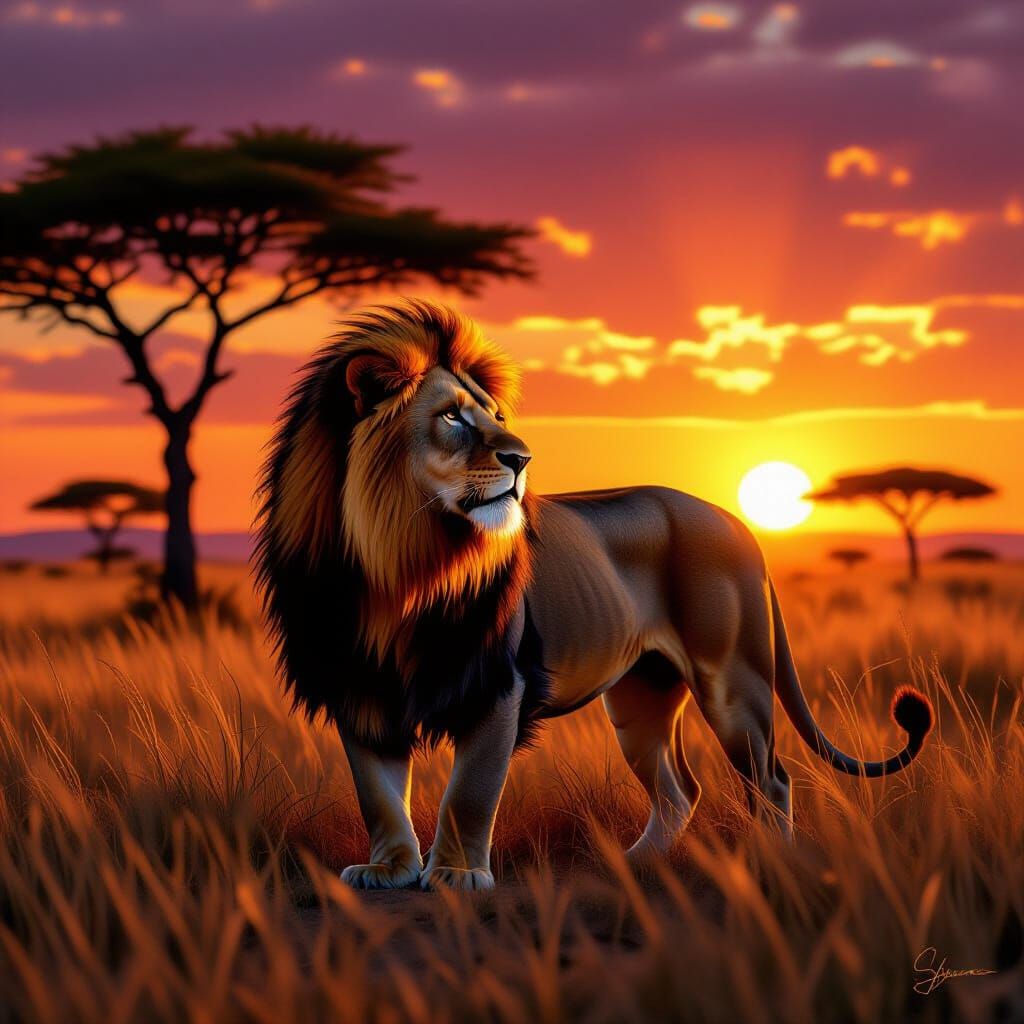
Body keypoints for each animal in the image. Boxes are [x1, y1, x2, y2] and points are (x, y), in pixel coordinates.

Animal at [255, 299, 933, 892]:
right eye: (451, 416)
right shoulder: (357, 687)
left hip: (734, 684)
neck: (394, 562)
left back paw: (772, 863)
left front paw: (456, 874)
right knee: (680, 790)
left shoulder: (499, 685)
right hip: (640, 698)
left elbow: (469, 792)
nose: (522, 457)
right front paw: (389, 869)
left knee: (772, 778)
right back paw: (632, 865)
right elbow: (378, 794)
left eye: (496, 416)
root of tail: (739, 522)